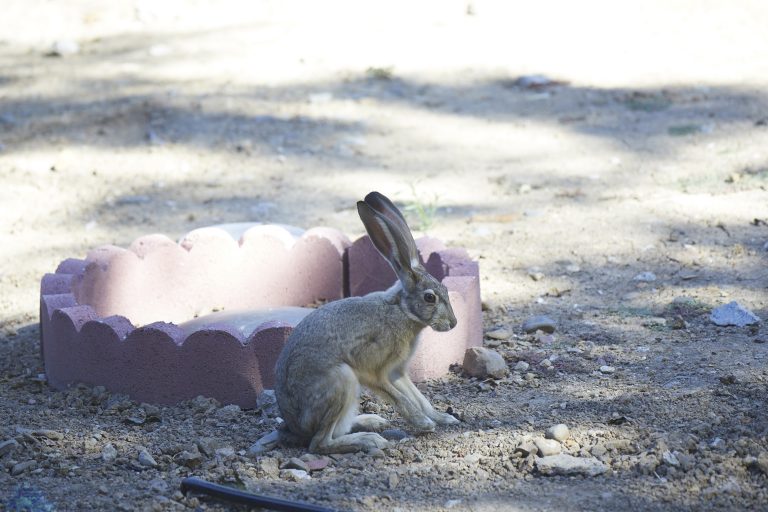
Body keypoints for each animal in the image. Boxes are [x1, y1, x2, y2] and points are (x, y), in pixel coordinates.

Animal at [274, 191, 461, 454]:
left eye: (445, 290)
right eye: (429, 297)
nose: (453, 324)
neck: (401, 311)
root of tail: (294, 426)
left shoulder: (397, 373)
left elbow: (418, 397)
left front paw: (442, 417)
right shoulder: (376, 373)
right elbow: (401, 399)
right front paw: (423, 423)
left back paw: (372, 421)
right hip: (341, 380)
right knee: (319, 444)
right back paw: (369, 440)